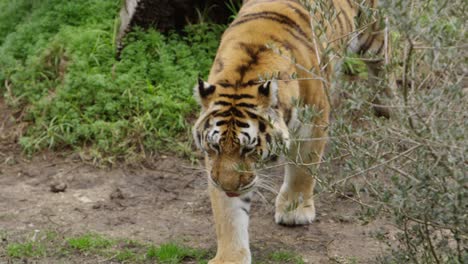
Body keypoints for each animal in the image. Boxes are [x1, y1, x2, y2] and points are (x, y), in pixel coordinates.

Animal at [192, 1, 390, 262]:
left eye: (248, 149)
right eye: (215, 146)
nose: (229, 188)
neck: (244, 72)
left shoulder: (313, 124)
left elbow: (302, 171)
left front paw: (294, 211)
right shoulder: (215, 163)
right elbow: (228, 213)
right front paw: (230, 257)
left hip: (373, 32)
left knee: (384, 61)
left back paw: (388, 106)